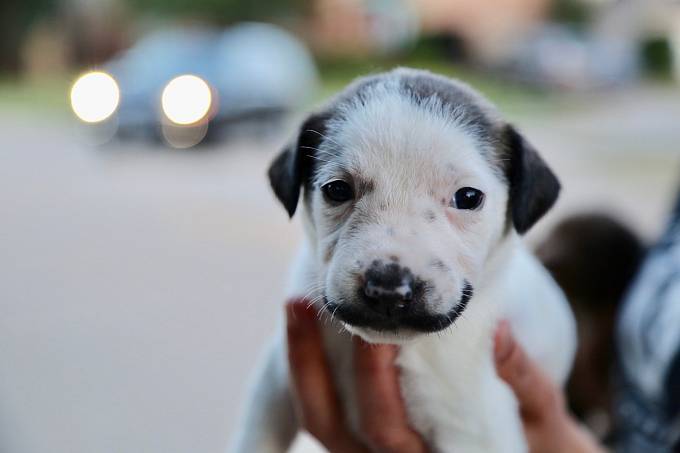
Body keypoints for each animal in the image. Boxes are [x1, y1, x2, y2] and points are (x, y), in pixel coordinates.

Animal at [231, 68, 576, 452]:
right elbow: (255, 438)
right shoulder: (275, 378)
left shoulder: (474, 430)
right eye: (337, 189)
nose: (388, 290)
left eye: (468, 197)